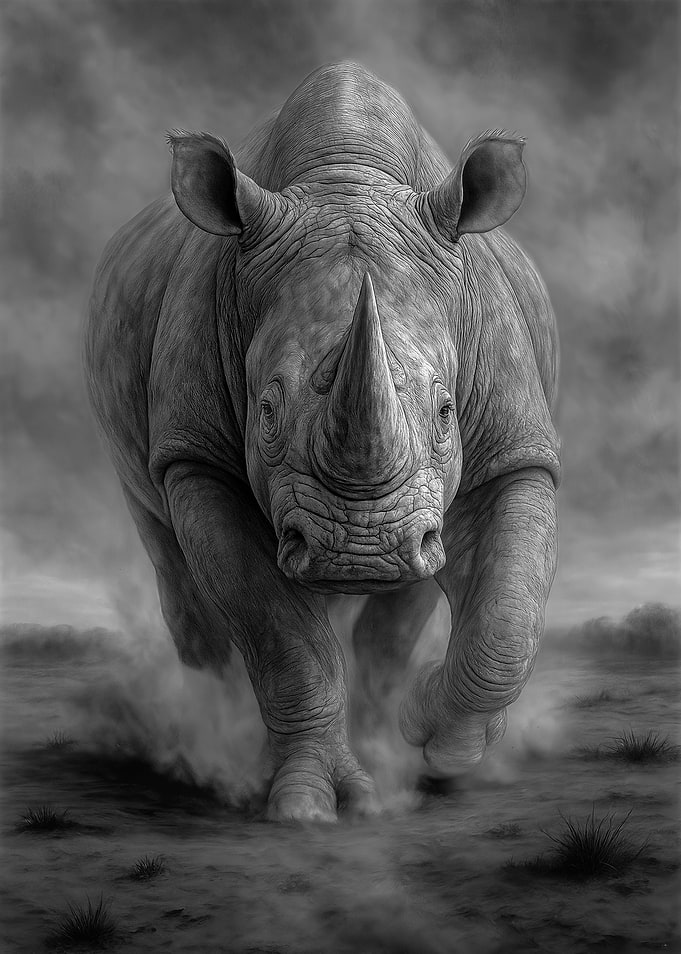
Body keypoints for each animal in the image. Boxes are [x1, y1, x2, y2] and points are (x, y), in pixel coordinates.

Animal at [86, 62, 560, 822]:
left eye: (446, 411)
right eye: (266, 410)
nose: (356, 554)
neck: (345, 177)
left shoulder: (513, 452)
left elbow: (506, 619)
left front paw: (436, 739)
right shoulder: (196, 457)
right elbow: (282, 635)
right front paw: (309, 804)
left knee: (405, 607)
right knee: (178, 574)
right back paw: (224, 744)